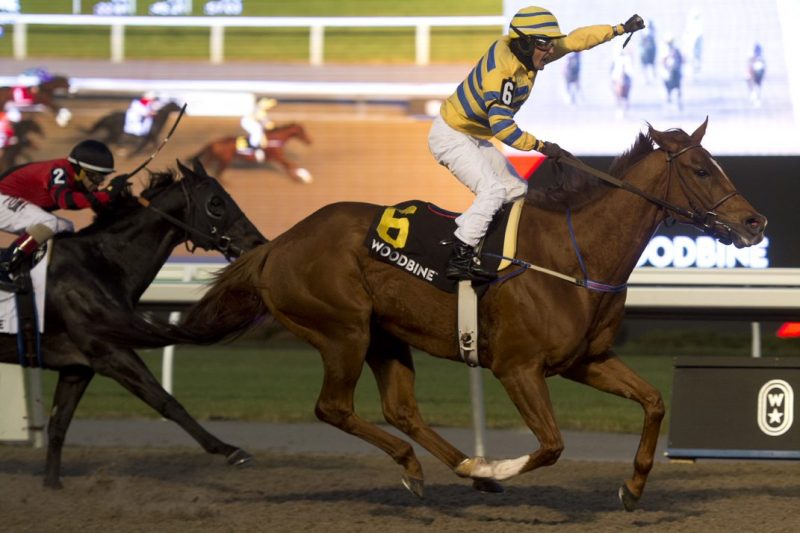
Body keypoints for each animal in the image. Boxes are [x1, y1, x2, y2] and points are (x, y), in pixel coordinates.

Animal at [122, 120, 764, 512]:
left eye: (718, 163)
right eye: (701, 170)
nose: (754, 222)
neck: (573, 254)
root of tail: (274, 246)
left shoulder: (586, 359)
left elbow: (654, 402)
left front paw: (632, 487)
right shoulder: (516, 367)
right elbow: (551, 445)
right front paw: (503, 469)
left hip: (384, 336)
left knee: (400, 409)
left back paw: (464, 468)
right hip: (343, 329)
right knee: (334, 408)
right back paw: (439, 467)